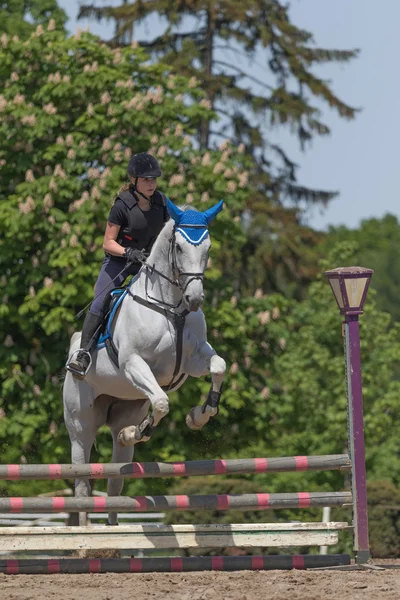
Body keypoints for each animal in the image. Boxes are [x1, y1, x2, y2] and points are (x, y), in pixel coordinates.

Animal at [62, 199, 225, 524]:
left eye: (208, 248)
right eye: (178, 248)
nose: (195, 299)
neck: (171, 306)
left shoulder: (193, 361)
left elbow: (219, 366)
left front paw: (198, 415)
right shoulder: (134, 364)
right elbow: (161, 402)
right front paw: (141, 431)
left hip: (124, 409)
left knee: (115, 483)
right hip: (80, 426)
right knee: (83, 484)